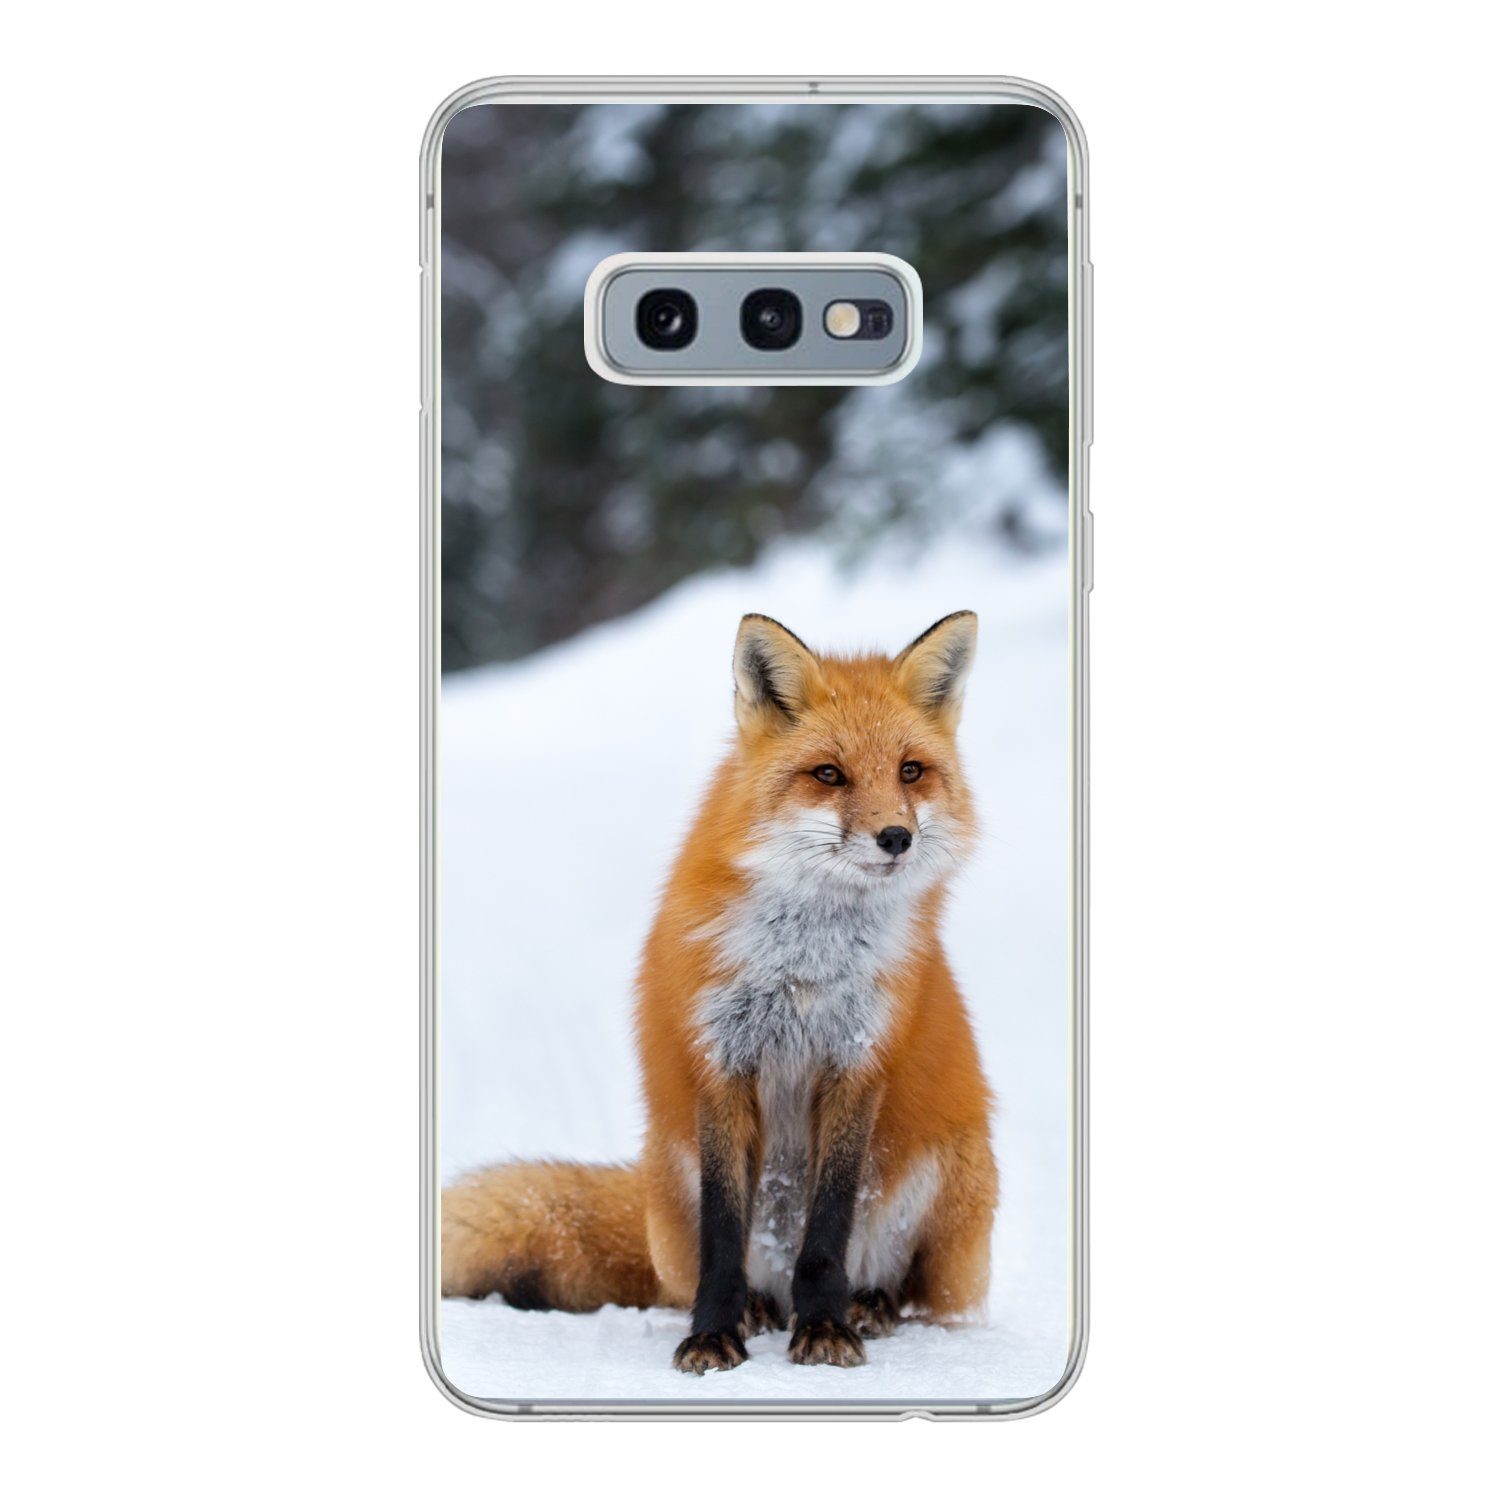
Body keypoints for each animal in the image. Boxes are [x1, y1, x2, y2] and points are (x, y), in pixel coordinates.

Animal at [442, 610, 997, 1373]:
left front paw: (825, 1327)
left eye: (910, 771)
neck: (804, 966)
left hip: (952, 1172)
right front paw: (713, 1332)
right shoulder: (722, 1060)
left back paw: (866, 1305)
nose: (896, 837)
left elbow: (827, 1231)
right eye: (829, 775)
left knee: (913, 1294)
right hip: (670, 1172)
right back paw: (761, 1309)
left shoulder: (857, 1063)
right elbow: (724, 1233)